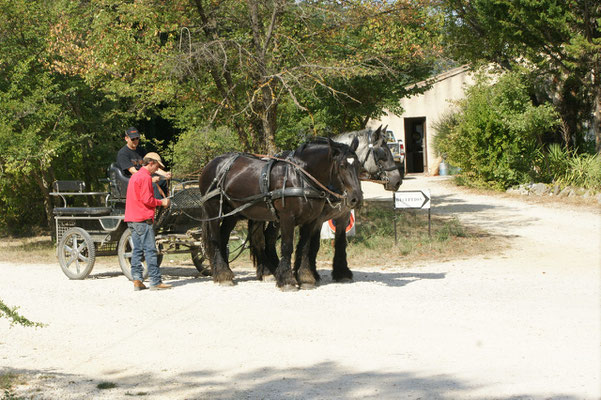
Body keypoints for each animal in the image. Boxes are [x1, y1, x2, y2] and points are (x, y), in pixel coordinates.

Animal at [199, 138, 364, 290]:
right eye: (342, 166)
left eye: (358, 165)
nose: (356, 198)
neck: (300, 178)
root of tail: (212, 163)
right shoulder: (287, 218)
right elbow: (287, 246)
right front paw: (287, 280)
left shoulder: (311, 220)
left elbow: (305, 247)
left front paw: (305, 278)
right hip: (214, 209)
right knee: (216, 238)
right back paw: (222, 275)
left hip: (233, 214)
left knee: (226, 237)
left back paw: (228, 272)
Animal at [248, 126, 404, 286]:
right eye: (382, 152)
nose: (397, 180)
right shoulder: (317, 218)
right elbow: (313, 244)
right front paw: (309, 273)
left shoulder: (343, 216)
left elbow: (340, 242)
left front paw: (341, 272)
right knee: (261, 238)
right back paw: (268, 271)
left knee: (268, 237)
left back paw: (271, 269)